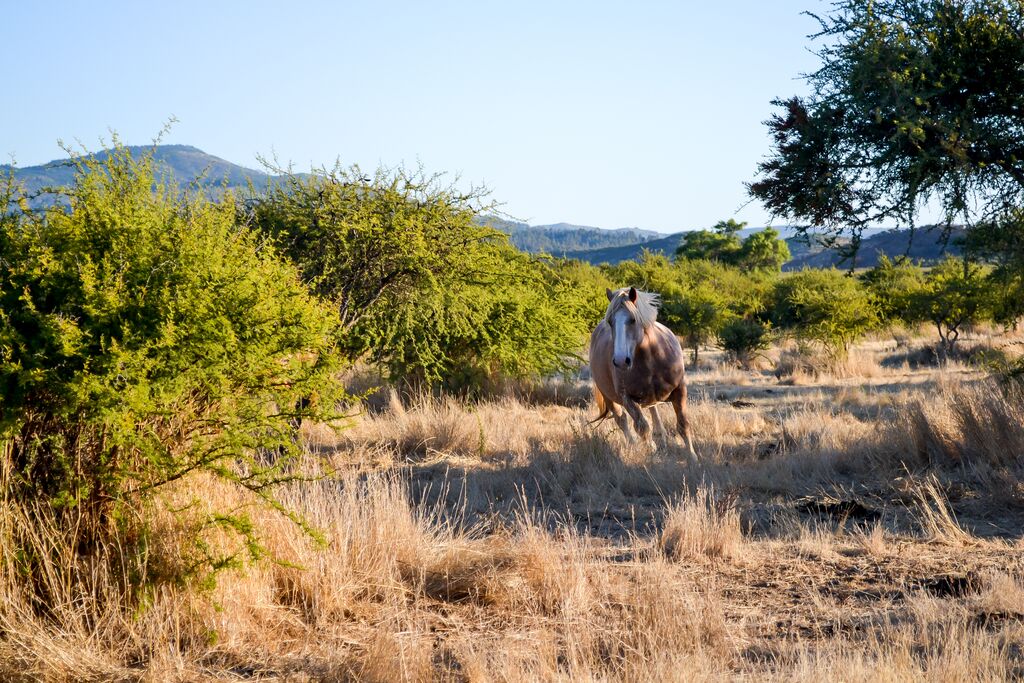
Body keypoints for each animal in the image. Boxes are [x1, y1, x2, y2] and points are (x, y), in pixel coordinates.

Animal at [593, 286, 696, 456]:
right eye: (610, 322)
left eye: (633, 320)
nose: (621, 361)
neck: (652, 359)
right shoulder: (627, 399)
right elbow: (642, 428)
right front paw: (652, 454)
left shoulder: (680, 390)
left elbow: (683, 425)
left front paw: (693, 458)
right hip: (609, 398)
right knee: (622, 421)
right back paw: (634, 445)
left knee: (654, 413)